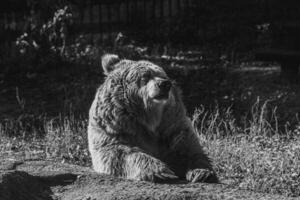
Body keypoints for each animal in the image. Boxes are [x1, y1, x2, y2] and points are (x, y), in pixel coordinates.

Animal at [87, 54, 218, 183]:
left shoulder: (172, 126)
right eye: (146, 76)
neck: (149, 118)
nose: (165, 84)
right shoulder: (115, 127)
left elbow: (189, 150)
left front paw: (202, 172)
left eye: (163, 75)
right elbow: (119, 152)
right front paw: (161, 172)